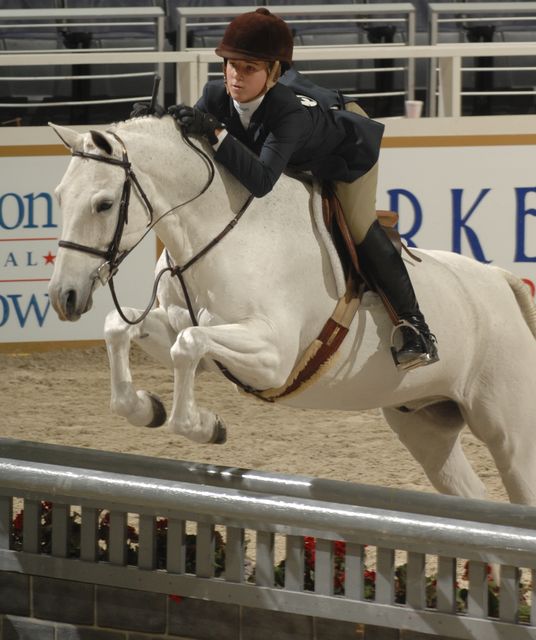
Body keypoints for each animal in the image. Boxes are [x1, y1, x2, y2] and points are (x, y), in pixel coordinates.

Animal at [47, 115, 536, 504]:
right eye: (59, 196)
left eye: (104, 204)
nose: (64, 297)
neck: (220, 234)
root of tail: (502, 282)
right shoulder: (182, 330)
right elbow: (121, 326)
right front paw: (146, 409)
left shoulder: (272, 357)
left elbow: (188, 345)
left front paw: (204, 425)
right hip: (425, 425)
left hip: (510, 434)